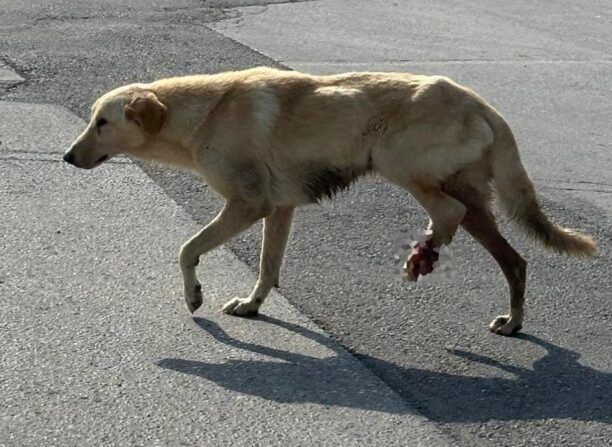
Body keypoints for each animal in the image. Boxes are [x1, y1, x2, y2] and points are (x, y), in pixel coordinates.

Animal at [64, 66, 596, 336]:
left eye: (102, 123)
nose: (67, 157)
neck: (203, 111)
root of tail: (480, 102)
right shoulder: (279, 210)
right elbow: (268, 268)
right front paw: (253, 305)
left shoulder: (248, 204)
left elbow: (187, 249)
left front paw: (194, 294)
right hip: (476, 201)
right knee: (516, 262)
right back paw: (509, 317)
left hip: (400, 162)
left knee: (448, 212)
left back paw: (425, 250)